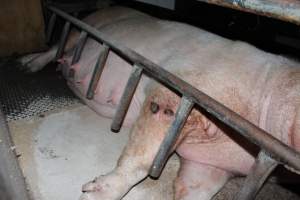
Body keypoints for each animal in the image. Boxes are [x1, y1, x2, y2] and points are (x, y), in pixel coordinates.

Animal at [19, 5, 300, 199]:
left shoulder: (213, 165)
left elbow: (195, 187)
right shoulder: (178, 91)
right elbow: (143, 157)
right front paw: (89, 193)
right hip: (87, 26)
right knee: (57, 46)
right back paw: (26, 65)